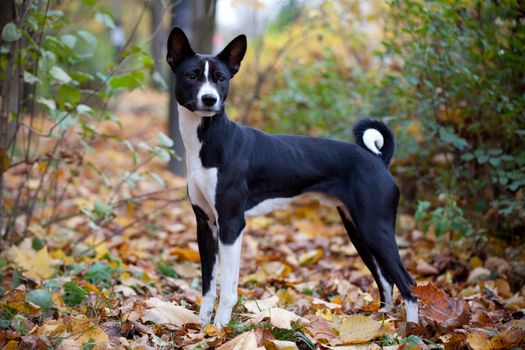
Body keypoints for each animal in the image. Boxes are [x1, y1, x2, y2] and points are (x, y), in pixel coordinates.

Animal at [165, 26, 418, 326]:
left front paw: (220, 328)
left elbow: (226, 289)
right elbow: (207, 286)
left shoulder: (231, 223)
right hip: (358, 229)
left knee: (407, 283)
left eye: (221, 79)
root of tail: (379, 160)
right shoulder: (206, 225)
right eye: (191, 76)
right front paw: (203, 327)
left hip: (375, 228)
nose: (209, 99)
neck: (209, 141)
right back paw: (379, 324)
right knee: (386, 281)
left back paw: (412, 330)